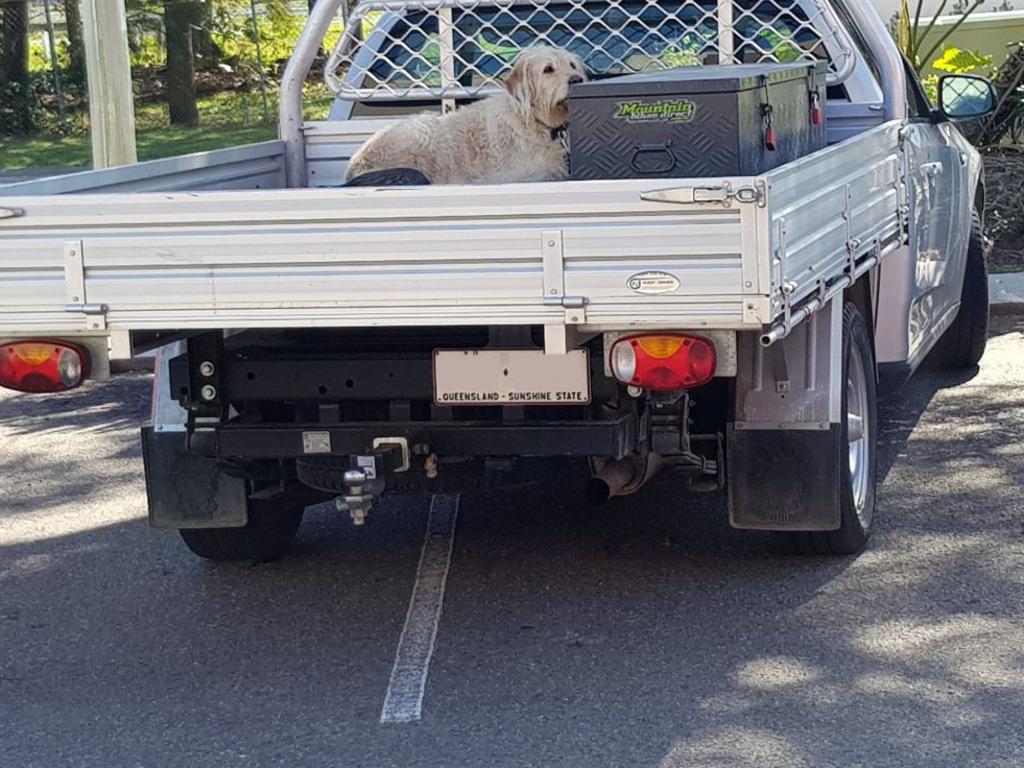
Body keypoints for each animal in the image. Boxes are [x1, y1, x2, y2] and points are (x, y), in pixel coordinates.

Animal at [344, 47, 585, 187]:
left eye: (572, 65)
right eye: (548, 69)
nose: (577, 80)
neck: (536, 122)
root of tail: (352, 168)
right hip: (423, 130)